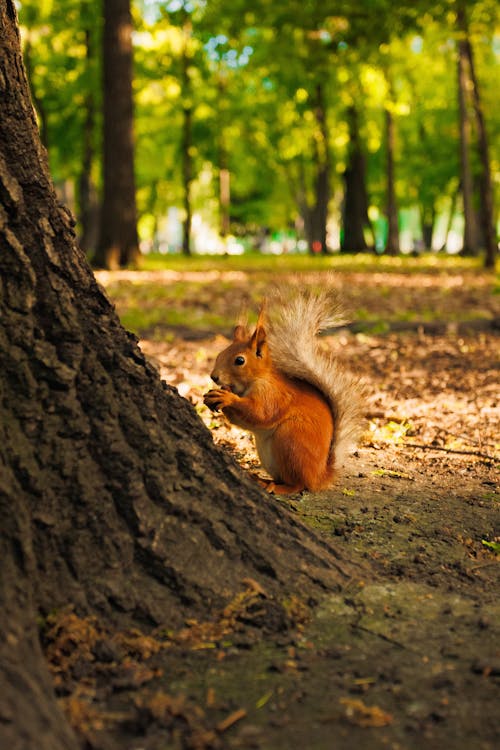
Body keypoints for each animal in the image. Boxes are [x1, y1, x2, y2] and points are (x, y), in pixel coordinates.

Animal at [203, 290, 364, 496]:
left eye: (239, 361)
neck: (257, 378)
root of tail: (319, 476)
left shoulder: (273, 395)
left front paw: (226, 397)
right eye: (219, 354)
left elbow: (260, 414)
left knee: (298, 484)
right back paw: (263, 480)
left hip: (290, 441)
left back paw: (278, 487)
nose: (214, 376)